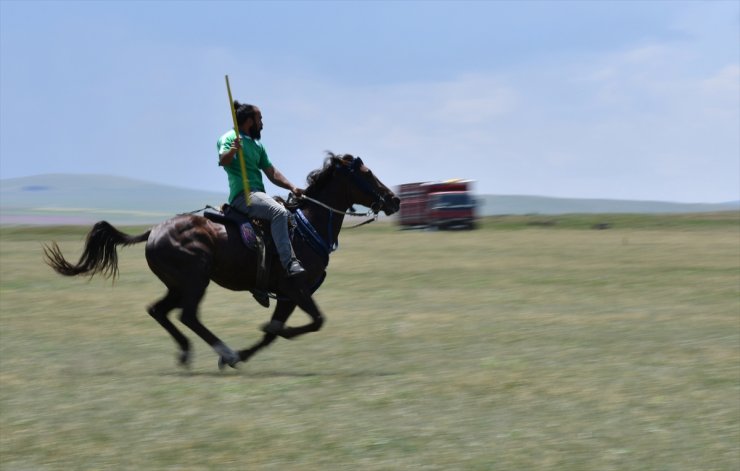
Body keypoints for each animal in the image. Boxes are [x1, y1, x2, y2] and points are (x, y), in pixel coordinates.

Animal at [45, 154, 398, 368]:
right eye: (367, 173)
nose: (394, 200)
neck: (308, 224)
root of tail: (155, 230)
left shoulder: (288, 296)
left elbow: (275, 332)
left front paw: (246, 351)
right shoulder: (295, 288)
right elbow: (311, 322)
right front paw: (244, 349)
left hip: (178, 284)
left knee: (159, 310)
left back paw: (189, 352)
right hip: (195, 280)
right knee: (188, 316)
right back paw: (221, 350)